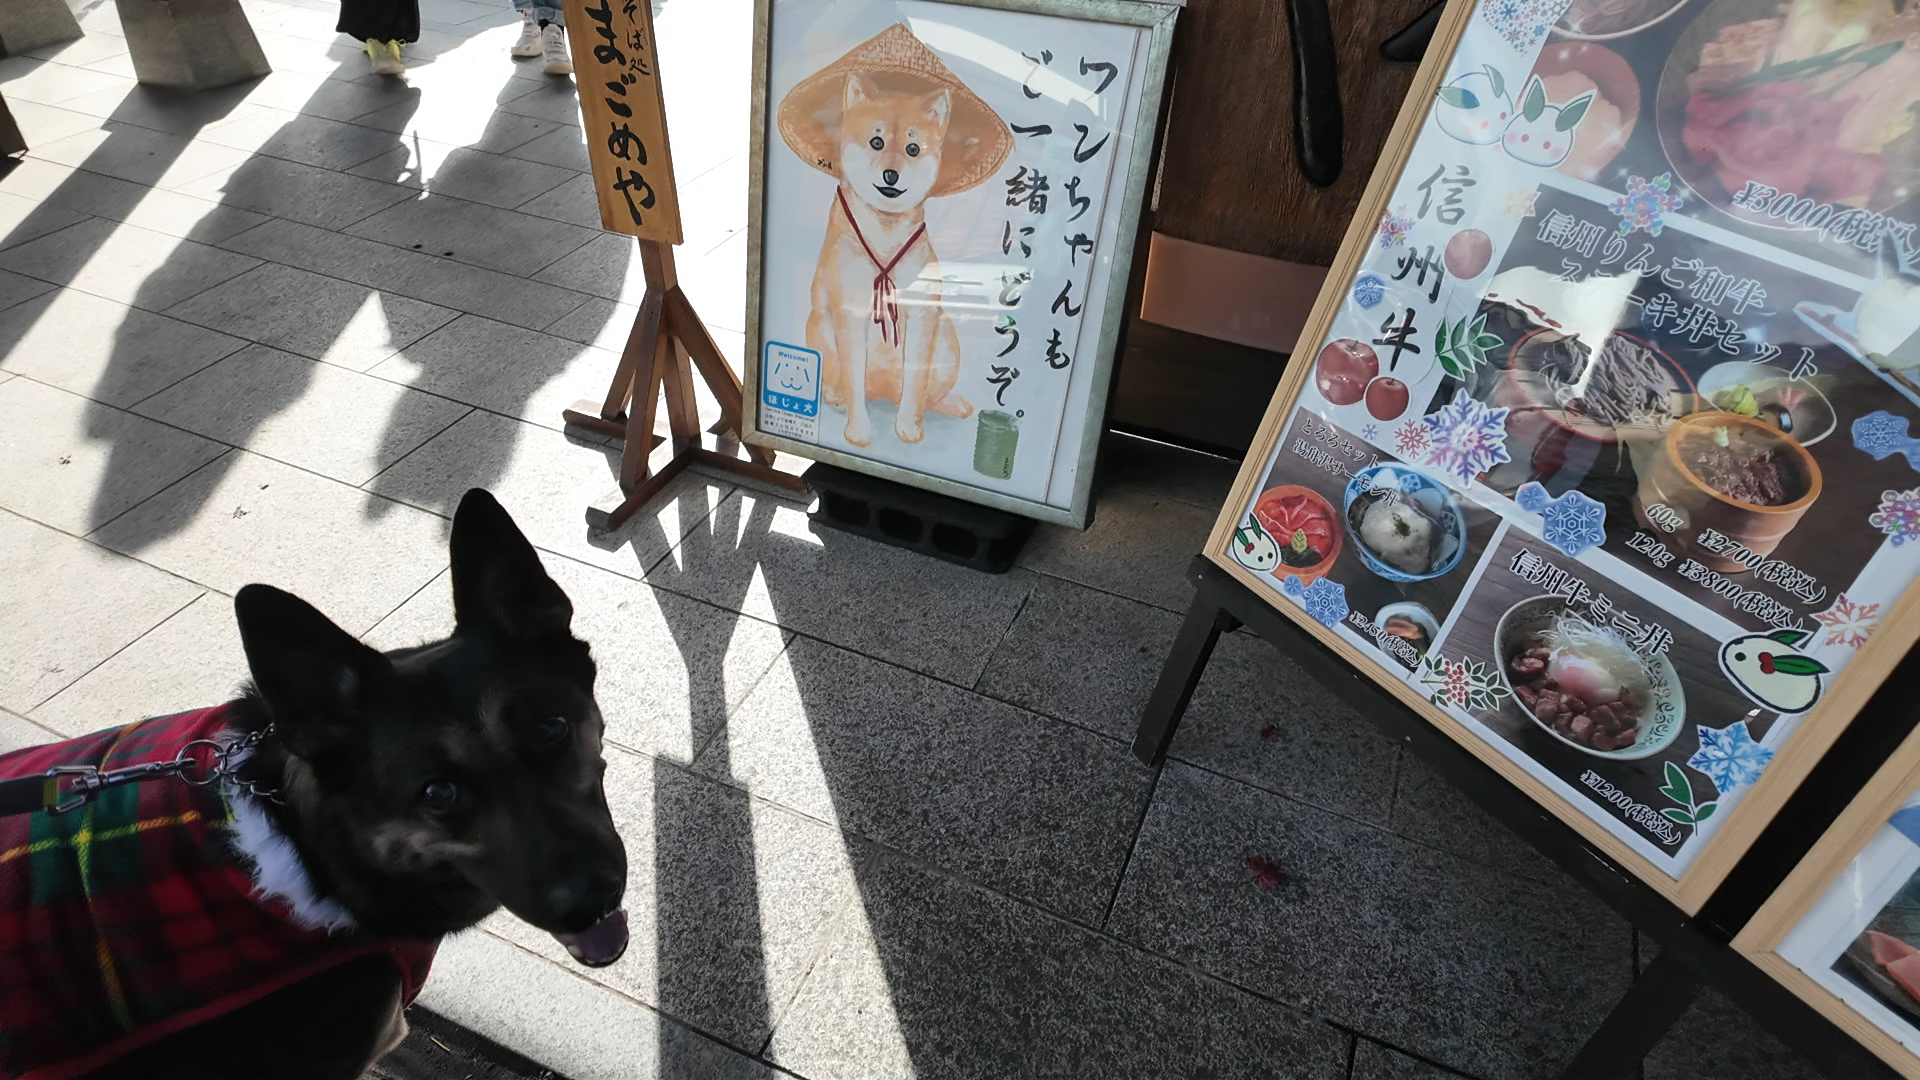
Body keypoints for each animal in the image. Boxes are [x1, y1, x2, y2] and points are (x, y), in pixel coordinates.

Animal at [805, 73, 974, 448]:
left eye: (913, 148)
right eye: (877, 142)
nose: (892, 175)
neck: (884, 235)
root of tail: (882, 391)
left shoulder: (923, 316)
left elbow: (915, 383)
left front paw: (909, 425)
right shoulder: (850, 313)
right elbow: (853, 378)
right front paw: (858, 431)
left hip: (946, 339)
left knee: (925, 393)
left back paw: (951, 403)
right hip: (820, 328)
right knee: (843, 379)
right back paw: (835, 394)